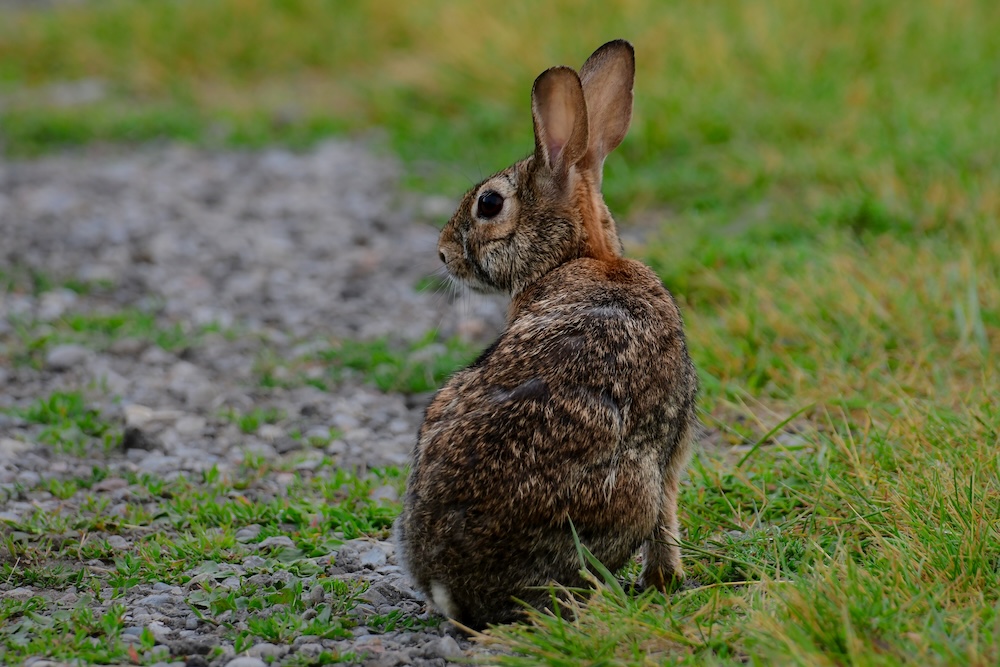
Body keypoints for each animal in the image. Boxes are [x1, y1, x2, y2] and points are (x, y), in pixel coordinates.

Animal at [394, 37, 700, 632]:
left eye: (489, 203)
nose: (441, 254)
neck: (579, 256)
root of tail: (452, 587)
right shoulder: (672, 453)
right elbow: (667, 521)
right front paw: (666, 581)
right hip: (633, 487)